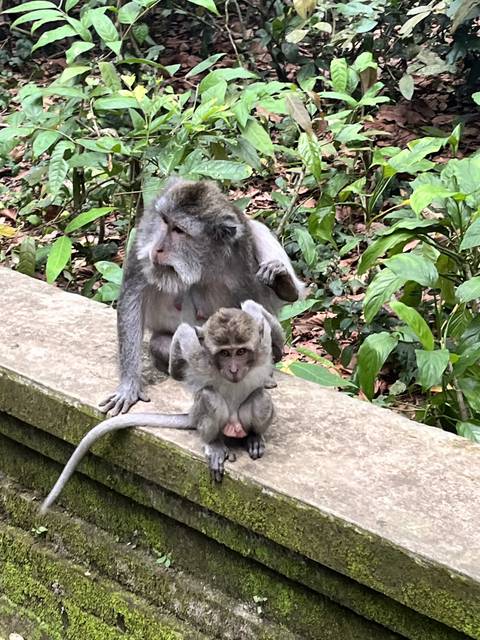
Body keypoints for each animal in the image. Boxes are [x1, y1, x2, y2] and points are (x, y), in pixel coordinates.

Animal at [40, 301, 279, 513]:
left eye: (241, 352)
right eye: (225, 353)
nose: (233, 369)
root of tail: (193, 415)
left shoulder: (262, 346)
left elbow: (254, 312)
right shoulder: (200, 358)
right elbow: (184, 332)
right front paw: (175, 370)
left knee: (260, 398)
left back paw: (253, 437)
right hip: (204, 417)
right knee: (210, 398)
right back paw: (214, 444)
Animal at [99, 178, 305, 417]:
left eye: (178, 230)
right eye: (164, 221)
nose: (157, 249)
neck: (201, 262)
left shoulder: (241, 253)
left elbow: (252, 304)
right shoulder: (144, 239)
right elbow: (132, 297)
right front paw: (129, 386)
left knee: (258, 228)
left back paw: (285, 284)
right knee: (161, 344)